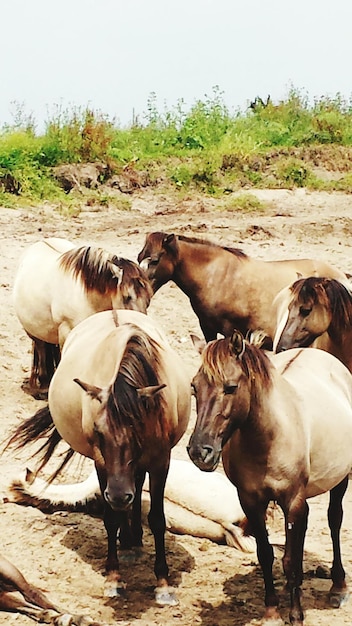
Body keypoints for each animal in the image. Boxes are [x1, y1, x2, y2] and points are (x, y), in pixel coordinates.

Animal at [6, 310, 190, 604]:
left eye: (138, 429)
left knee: (137, 488)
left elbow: (158, 520)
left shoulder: (161, 460)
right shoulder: (103, 464)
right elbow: (111, 518)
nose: (118, 495)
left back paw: (134, 540)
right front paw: (113, 578)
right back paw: (127, 543)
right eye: (98, 431)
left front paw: (163, 584)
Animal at [13, 236, 153, 398]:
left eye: (148, 300)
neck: (87, 296)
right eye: (127, 297)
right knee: (41, 347)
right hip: (33, 331)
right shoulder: (66, 332)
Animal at [137, 232, 346, 344]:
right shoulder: (207, 328)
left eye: (154, 260)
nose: (143, 293)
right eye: (139, 257)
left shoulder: (232, 331)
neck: (215, 277)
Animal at [188, 330, 352, 620]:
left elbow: (290, 560)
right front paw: (272, 612)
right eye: (194, 387)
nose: (199, 452)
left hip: (339, 480)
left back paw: (338, 586)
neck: (269, 437)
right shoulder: (251, 501)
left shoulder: (292, 500)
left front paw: (296, 615)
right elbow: (266, 554)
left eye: (230, 387)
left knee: (334, 521)